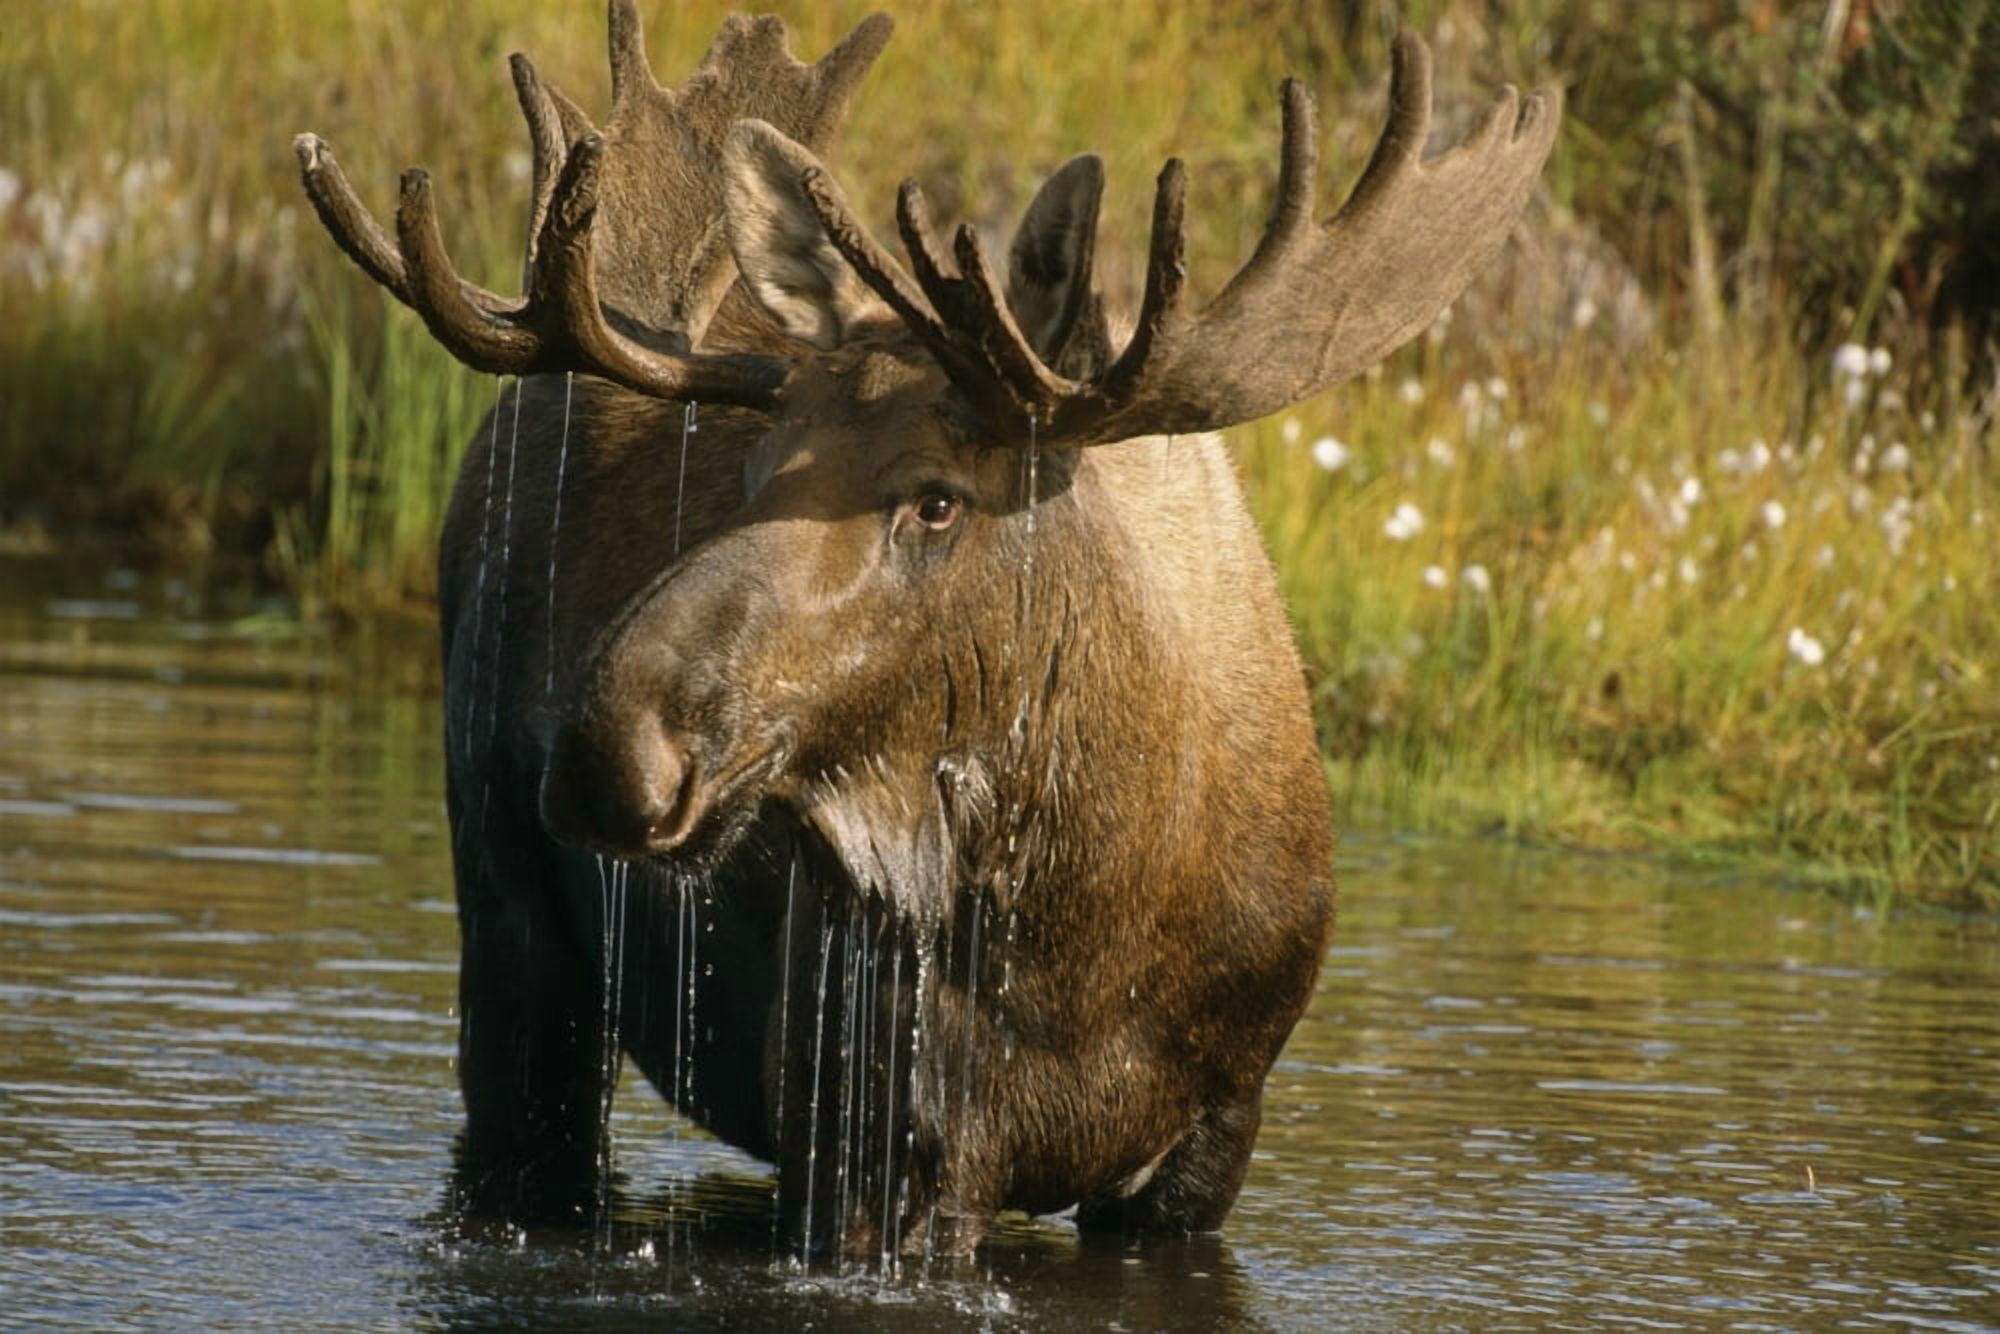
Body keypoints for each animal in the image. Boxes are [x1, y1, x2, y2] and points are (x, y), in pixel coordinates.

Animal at [295, 2, 1558, 1258]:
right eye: (749, 466)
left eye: (938, 498)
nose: (612, 748)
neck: (1091, 933)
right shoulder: (870, 1117)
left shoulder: (1210, 1136)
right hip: (510, 918)